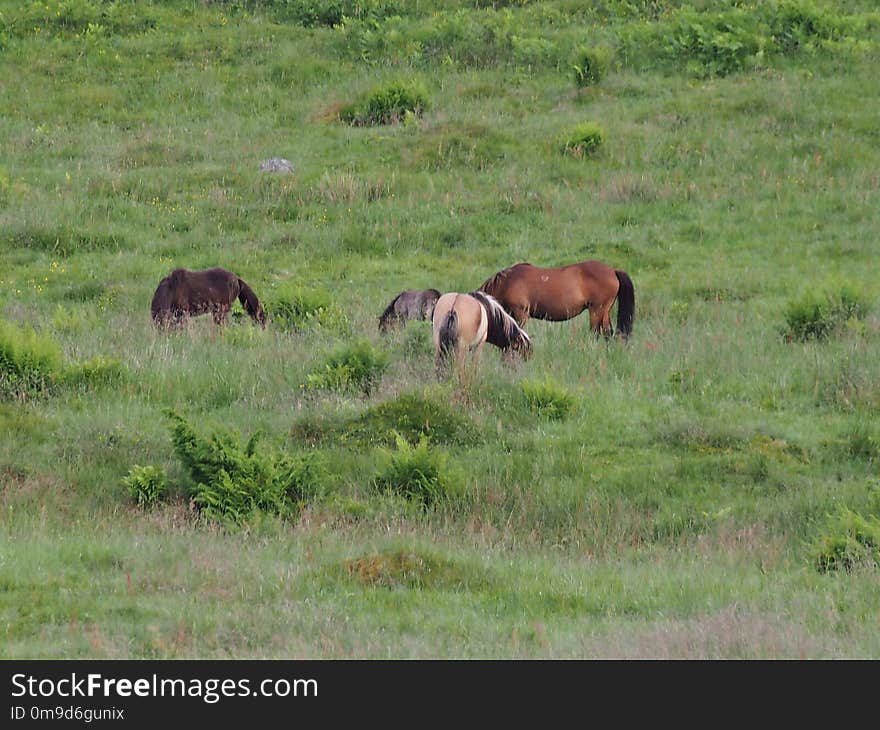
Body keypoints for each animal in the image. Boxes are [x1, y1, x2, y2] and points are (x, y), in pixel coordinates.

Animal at [482, 258, 632, 338]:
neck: (508, 282)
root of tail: (613, 271)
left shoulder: (521, 314)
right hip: (604, 311)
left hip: (596, 310)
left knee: (597, 333)